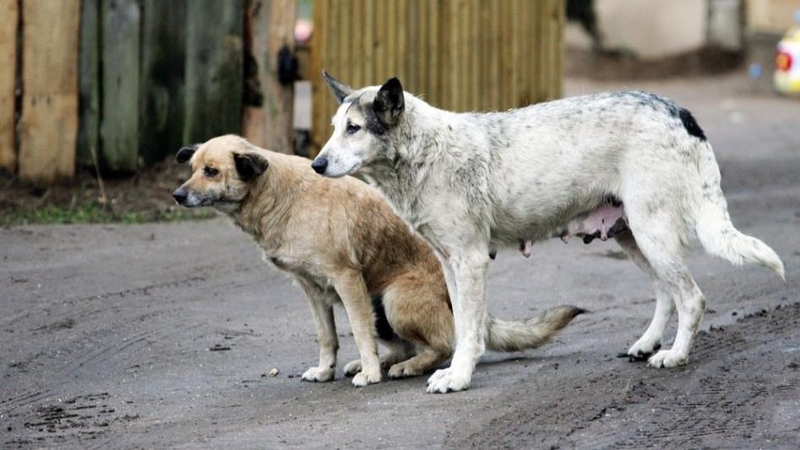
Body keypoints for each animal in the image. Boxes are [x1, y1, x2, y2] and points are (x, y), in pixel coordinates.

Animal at [172, 134, 580, 386]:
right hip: (379, 305)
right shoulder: (312, 291)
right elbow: (328, 336)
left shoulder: (346, 279)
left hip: (394, 301)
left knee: (446, 344)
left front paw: (369, 373)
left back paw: (404, 367)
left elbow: (359, 333)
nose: (177, 195)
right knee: (409, 343)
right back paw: (389, 361)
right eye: (191, 169)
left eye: (211, 171)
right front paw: (327, 370)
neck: (277, 194)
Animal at [310, 72, 784, 392]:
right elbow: (462, 325)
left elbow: (469, 330)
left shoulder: (470, 261)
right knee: (667, 295)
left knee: (691, 298)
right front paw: (456, 366)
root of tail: (679, 112)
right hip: (634, 239)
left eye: (354, 128)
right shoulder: (449, 265)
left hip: (653, 237)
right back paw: (648, 344)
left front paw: (459, 376)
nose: (315, 165)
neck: (424, 153)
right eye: (334, 128)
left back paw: (676, 355)